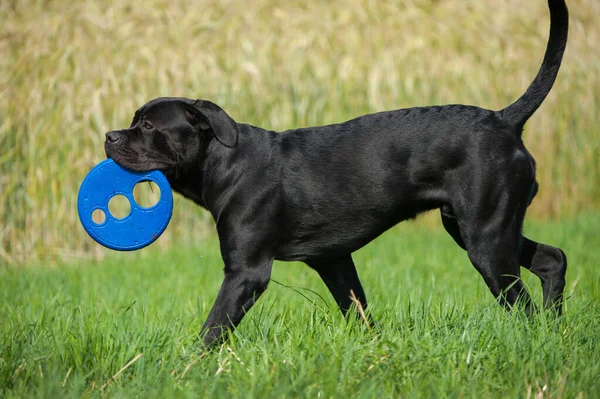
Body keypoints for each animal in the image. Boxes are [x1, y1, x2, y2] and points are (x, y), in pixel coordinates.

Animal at [105, 0, 568, 346]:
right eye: (134, 120)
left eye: (148, 126)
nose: (109, 136)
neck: (225, 163)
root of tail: (505, 119)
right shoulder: (333, 260)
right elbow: (359, 311)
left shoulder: (246, 271)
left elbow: (213, 328)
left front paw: (188, 367)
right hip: (477, 227)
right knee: (552, 259)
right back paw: (556, 326)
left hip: (485, 238)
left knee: (521, 302)